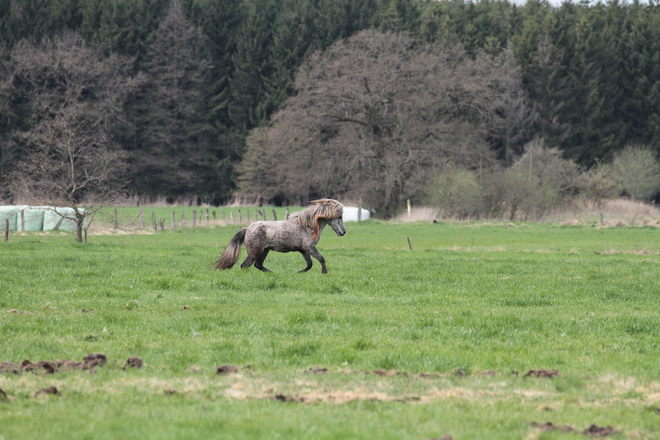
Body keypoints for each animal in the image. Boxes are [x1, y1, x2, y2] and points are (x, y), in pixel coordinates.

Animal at [215, 199, 348, 274]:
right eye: (340, 217)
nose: (343, 232)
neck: (308, 226)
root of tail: (247, 228)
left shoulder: (303, 250)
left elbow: (309, 264)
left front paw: (299, 272)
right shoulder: (309, 247)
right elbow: (321, 259)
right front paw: (324, 273)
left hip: (265, 250)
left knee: (258, 265)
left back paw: (272, 273)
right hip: (255, 251)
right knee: (245, 265)